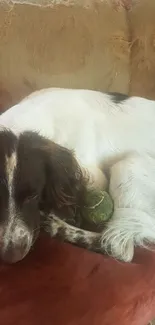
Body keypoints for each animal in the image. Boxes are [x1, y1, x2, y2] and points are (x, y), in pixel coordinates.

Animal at [0, 86, 155, 264]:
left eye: (33, 195)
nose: (9, 256)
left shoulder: (95, 177)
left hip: (127, 167)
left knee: (119, 248)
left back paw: (58, 227)